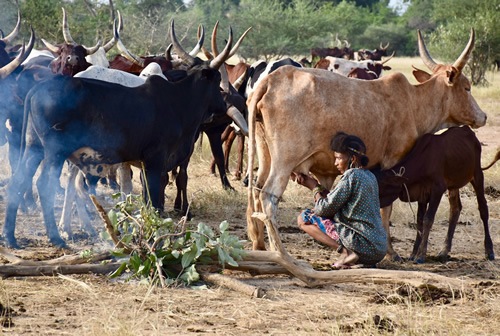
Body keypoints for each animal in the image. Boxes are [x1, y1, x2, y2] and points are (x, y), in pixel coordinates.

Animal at [2, 20, 236, 247]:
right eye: (217, 80)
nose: (223, 105)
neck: (179, 100)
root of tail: (37, 88)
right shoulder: (154, 161)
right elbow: (154, 202)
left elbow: (147, 200)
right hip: (55, 151)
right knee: (44, 185)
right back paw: (57, 237)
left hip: (34, 147)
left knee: (19, 180)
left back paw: (11, 238)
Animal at [246, 28, 488, 251]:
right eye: (467, 87)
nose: (483, 116)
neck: (413, 102)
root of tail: (271, 80)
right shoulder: (392, 161)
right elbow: (386, 208)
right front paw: (390, 253)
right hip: (284, 160)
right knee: (269, 197)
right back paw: (279, 251)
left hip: (264, 153)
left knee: (256, 190)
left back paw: (259, 244)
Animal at [376, 125, 496, 262]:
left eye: (380, 186)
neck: (424, 160)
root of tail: (467, 129)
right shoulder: (422, 194)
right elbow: (419, 221)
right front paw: (414, 253)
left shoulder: (438, 189)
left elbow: (428, 219)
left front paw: (421, 255)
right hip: (453, 185)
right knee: (455, 209)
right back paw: (444, 251)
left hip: (477, 175)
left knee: (483, 209)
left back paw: (489, 250)